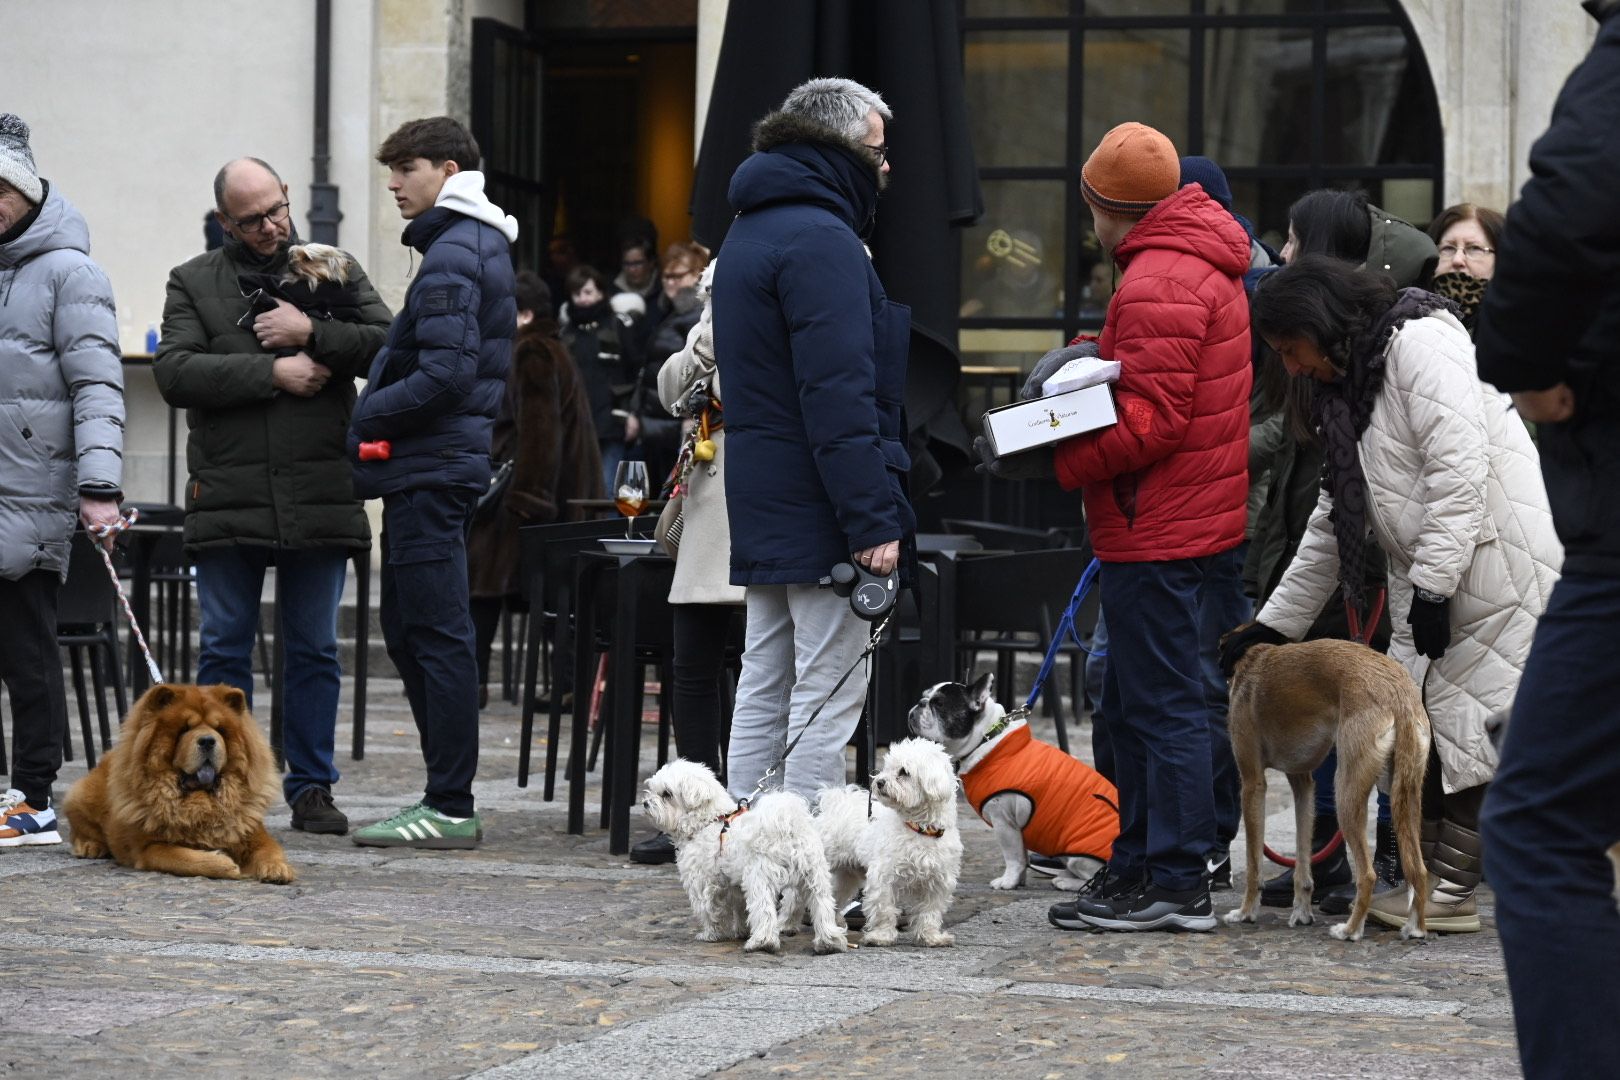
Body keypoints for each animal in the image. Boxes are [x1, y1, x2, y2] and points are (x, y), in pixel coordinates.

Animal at [63, 689, 298, 880]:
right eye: (184, 729)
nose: (208, 740)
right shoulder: (149, 847)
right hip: (80, 796)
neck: (202, 803)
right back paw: (90, 846)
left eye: (220, 730)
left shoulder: (252, 832)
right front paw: (223, 863)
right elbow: (184, 857)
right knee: (79, 829)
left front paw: (277, 868)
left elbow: (269, 849)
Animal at [641, 761, 855, 952]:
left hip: (760, 877)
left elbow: (710, 910)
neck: (709, 822)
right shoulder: (734, 884)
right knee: (823, 906)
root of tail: (787, 827)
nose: (644, 803)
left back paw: (763, 942)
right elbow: (740, 908)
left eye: (666, 794)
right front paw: (741, 931)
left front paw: (711, 934)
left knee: (764, 909)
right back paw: (829, 942)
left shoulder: (704, 883)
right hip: (815, 877)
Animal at [810, 738, 959, 952]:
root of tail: (835, 805)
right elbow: (884, 909)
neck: (919, 828)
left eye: (904, 772)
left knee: (835, 898)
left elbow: (930, 912)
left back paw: (835, 924)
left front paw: (931, 937)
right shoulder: (883, 877)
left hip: (847, 874)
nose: (879, 782)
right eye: (887, 768)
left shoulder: (937, 881)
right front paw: (880, 936)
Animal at [1224, 637, 1432, 939]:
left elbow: (1253, 863)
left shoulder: (1252, 783)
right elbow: (1302, 860)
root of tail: (1398, 695)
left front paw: (1246, 912)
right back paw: (1414, 928)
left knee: (1368, 874)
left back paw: (1350, 930)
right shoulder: (1303, 784)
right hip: (1406, 797)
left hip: (1345, 792)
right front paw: (1301, 913)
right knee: (1418, 869)